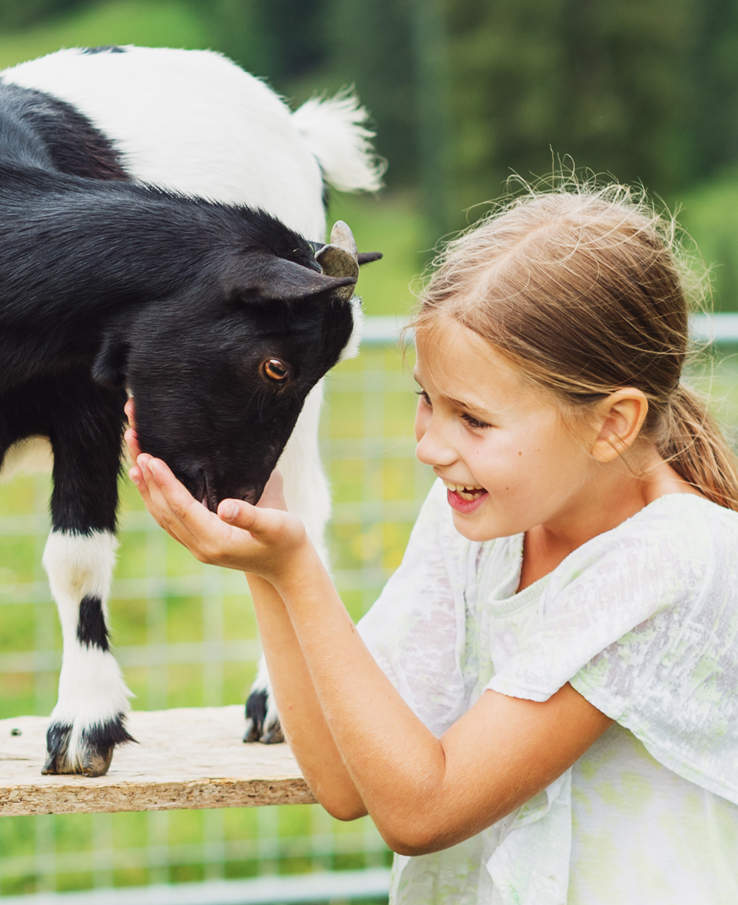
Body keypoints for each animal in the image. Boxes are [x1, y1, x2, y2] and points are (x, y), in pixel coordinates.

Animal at [4, 46, 386, 772]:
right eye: (276, 366)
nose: (233, 498)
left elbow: (76, 556)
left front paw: (85, 725)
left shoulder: (87, 402)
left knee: (306, 511)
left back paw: (276, 704)